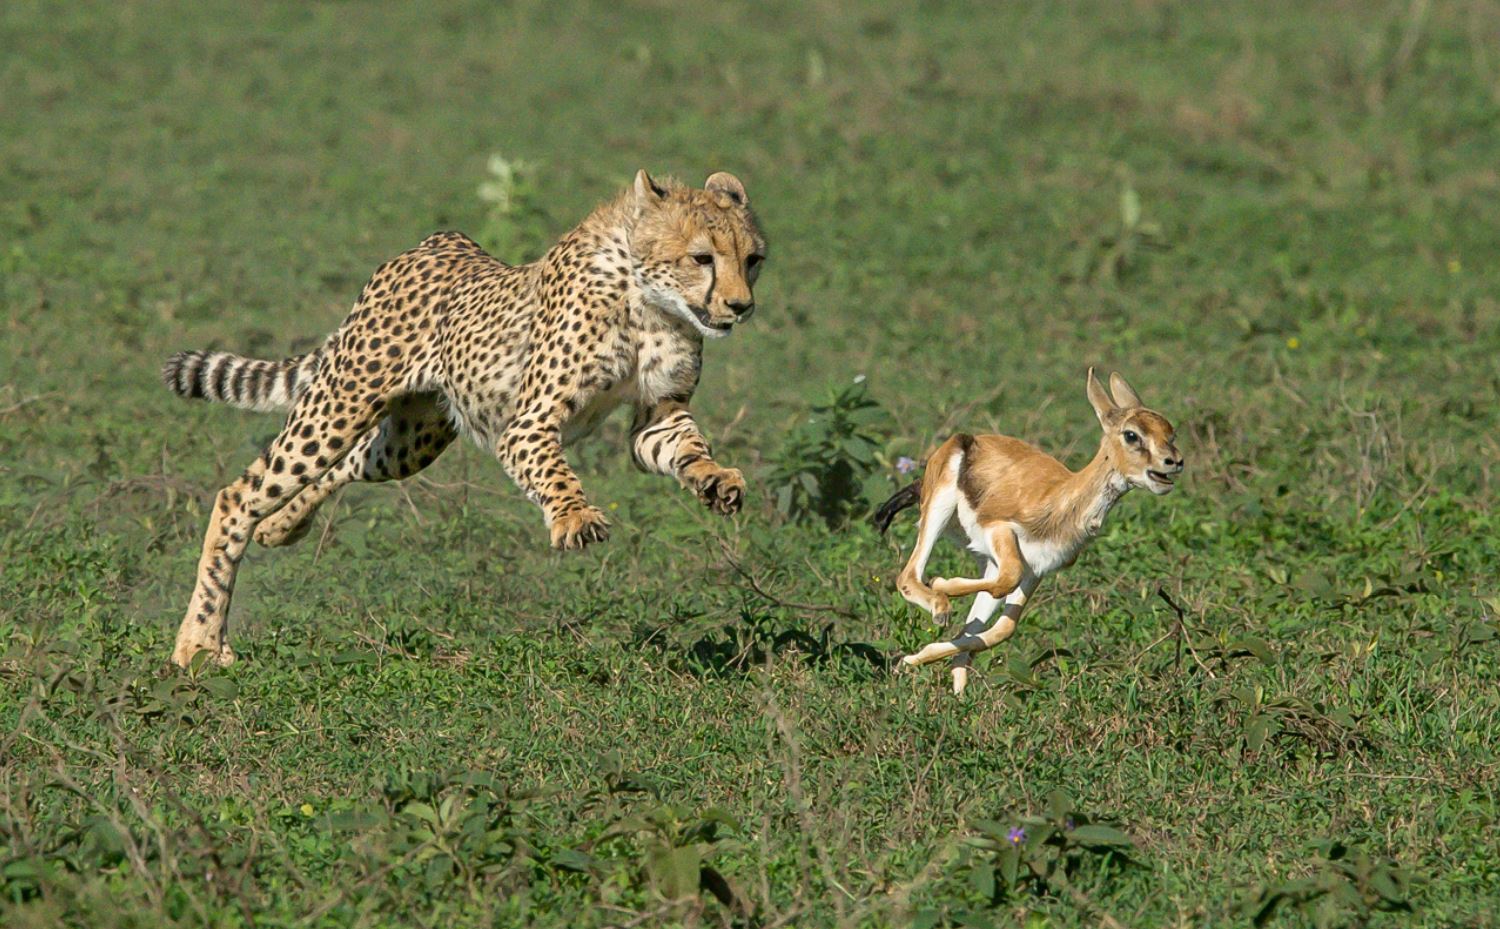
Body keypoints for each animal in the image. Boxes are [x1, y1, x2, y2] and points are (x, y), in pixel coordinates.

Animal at [164, 171, 768, 666]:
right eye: (702, 258)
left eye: (752, 260)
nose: (741, 307)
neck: (650, 302)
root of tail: (436, 241)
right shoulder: (528, 423)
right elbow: (555, 474)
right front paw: (574, 518)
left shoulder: (657, 415)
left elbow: (684, 447)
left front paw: (716, 480)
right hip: (344, 400)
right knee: (240, 493)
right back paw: (200, 642)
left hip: (412, 440)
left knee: (346, 464)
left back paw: (281, 526)